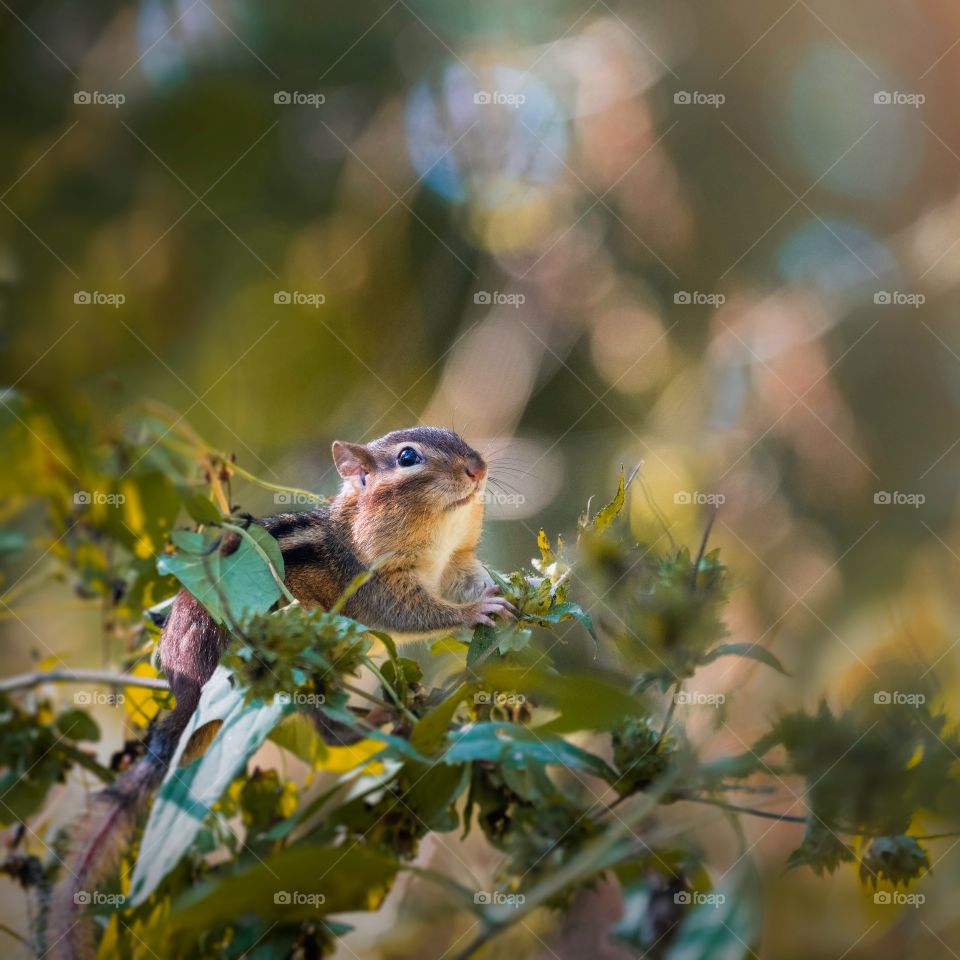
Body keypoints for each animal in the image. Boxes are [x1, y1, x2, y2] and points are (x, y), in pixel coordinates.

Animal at [47, 427, 514, 959]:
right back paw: (388, 718)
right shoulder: (375, 584)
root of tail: (188, 690)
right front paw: (472, 613)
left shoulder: (454, 563)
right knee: (330, 732)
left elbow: (469, 579)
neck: (437, 537)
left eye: (457, 436)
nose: (477, 468)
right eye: (408, 458)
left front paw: (509, 590)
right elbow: (410, 615)